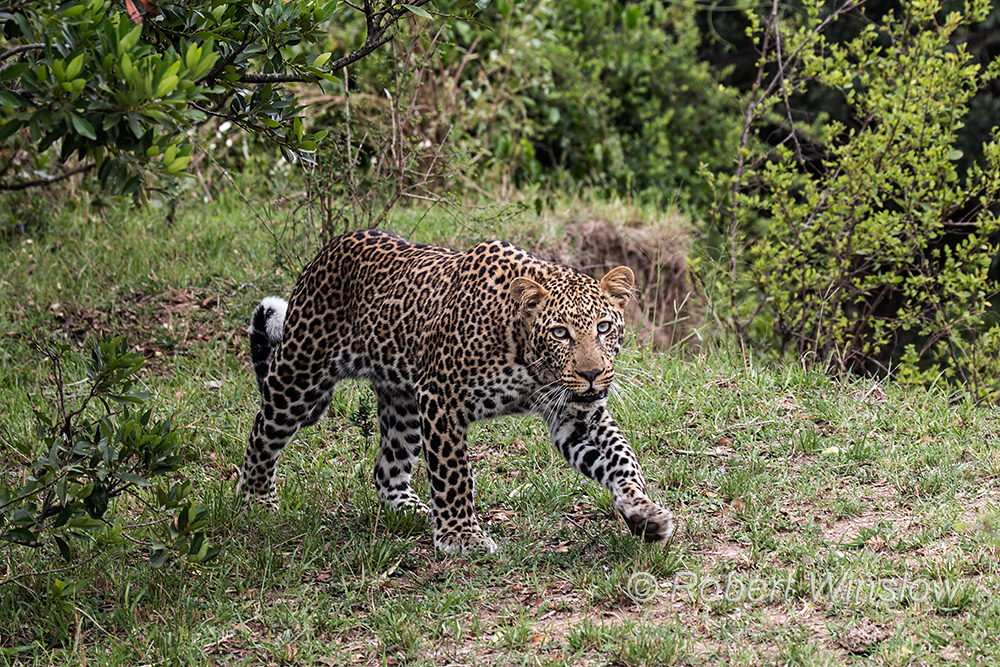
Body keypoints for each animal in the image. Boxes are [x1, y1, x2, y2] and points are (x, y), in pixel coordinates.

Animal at [238, 229, 674, 554]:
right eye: (560, 333)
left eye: (603, 327)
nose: (592, 373)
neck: (526, 357)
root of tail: (328, 248)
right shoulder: (441, 398)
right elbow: (453, 473)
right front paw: (462, 536)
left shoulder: (576, 417)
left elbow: (622, 461)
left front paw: (643, 513)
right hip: (302, 376)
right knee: (263, 428)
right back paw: (256, 500)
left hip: (403, 402)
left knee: (387, 466)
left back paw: (411, 509)